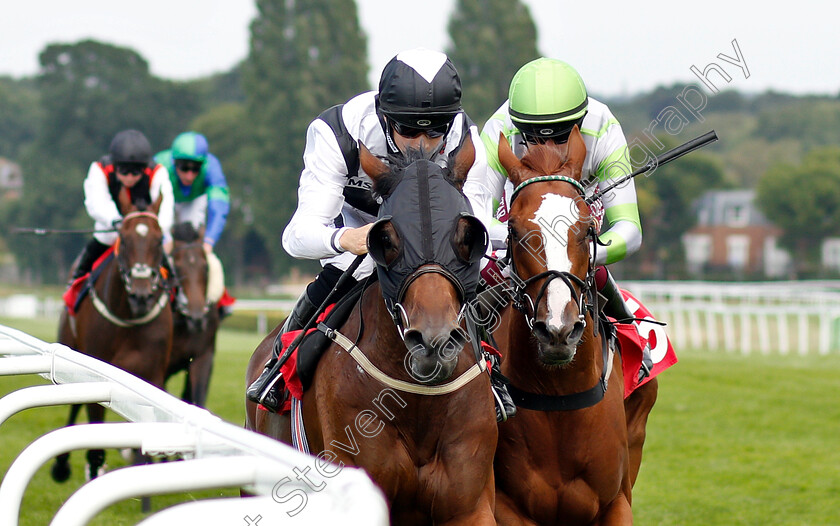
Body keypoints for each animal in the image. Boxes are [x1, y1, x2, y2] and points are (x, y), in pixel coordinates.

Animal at [50, 191, 172, 486]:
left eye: (159, 240)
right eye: (124, 240)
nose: (142, 295)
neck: (129, 315)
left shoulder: (152, 374)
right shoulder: (97, 372)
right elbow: (94, 435)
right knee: (73, 404)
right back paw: (62, 465)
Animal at [488, 126, 660, 524]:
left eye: (586, 229)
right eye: (515, 230)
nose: (558, 330)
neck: (559, 398)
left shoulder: (616, 502)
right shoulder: (507, 506)